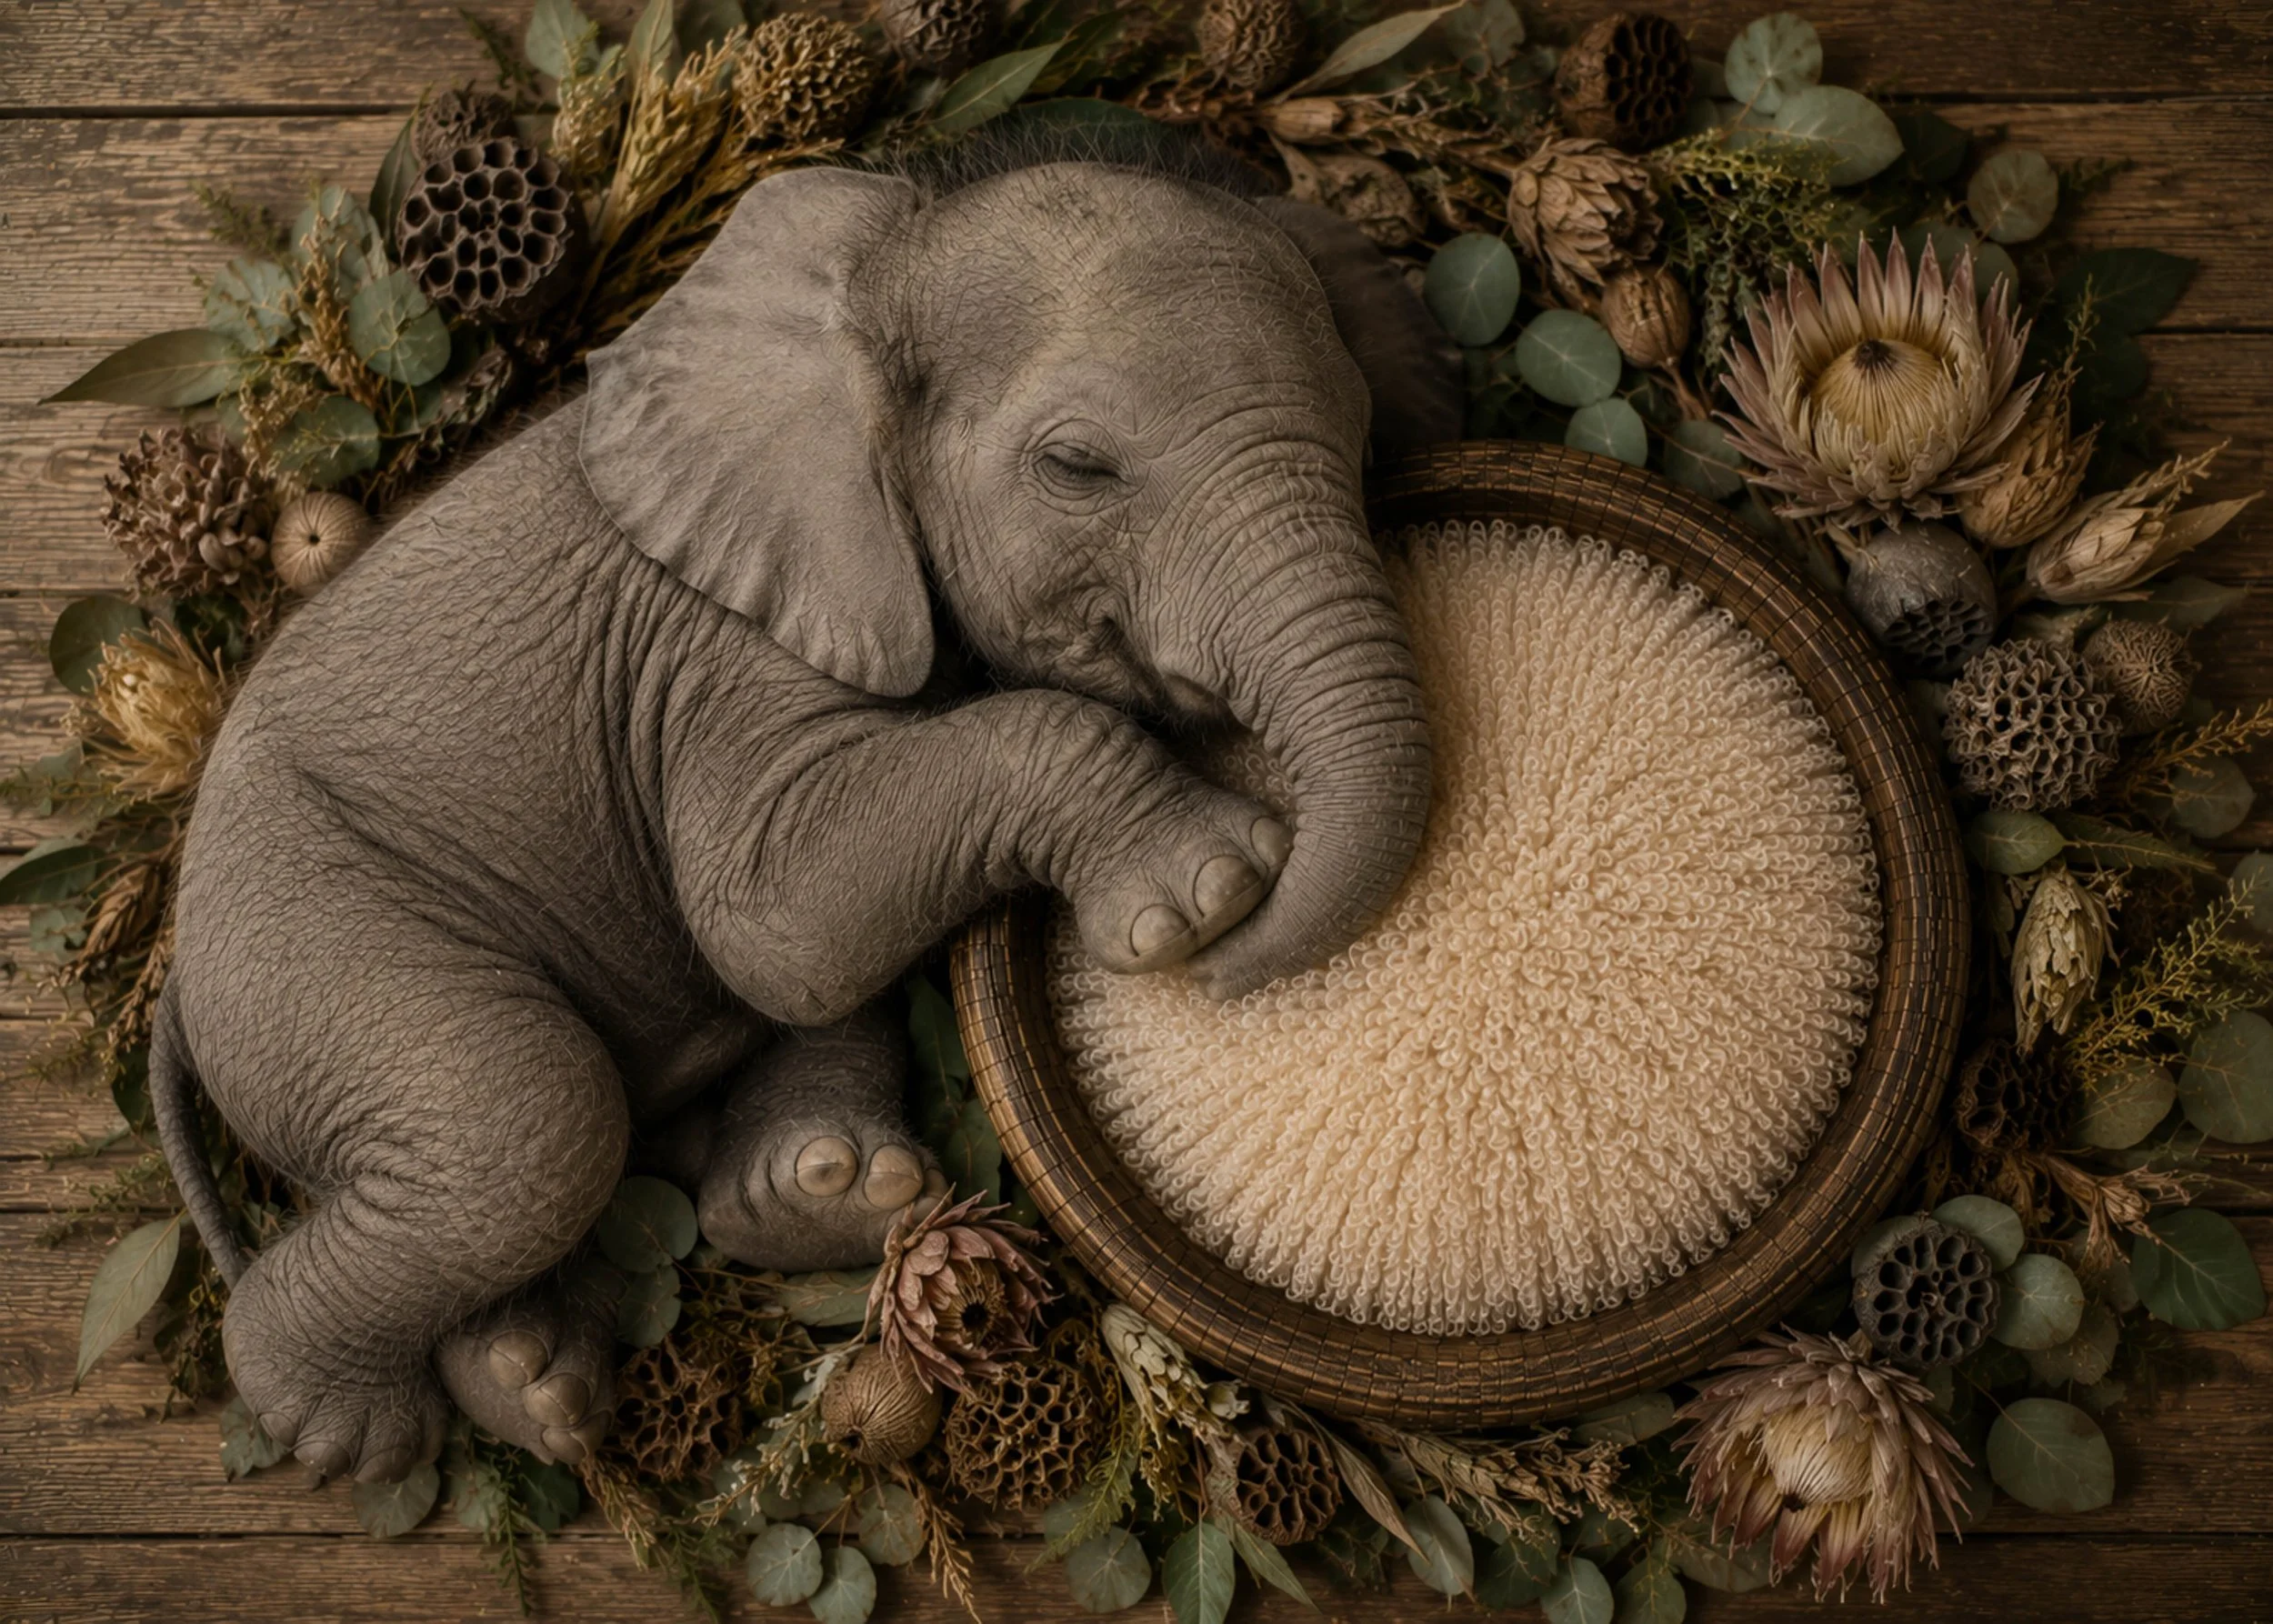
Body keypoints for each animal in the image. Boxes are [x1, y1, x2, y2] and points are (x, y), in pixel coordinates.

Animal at [149, 135, 1448, 1486]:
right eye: (1078, 468)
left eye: (1364, 437)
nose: (1230, 983)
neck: (879, 277)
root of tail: (176, 981)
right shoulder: (713, 644)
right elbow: (773, 924)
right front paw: (1210, 891)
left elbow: (805, 944)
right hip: (309, 942)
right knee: (529, 1118)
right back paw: (360, 1433)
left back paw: (702, 1273)